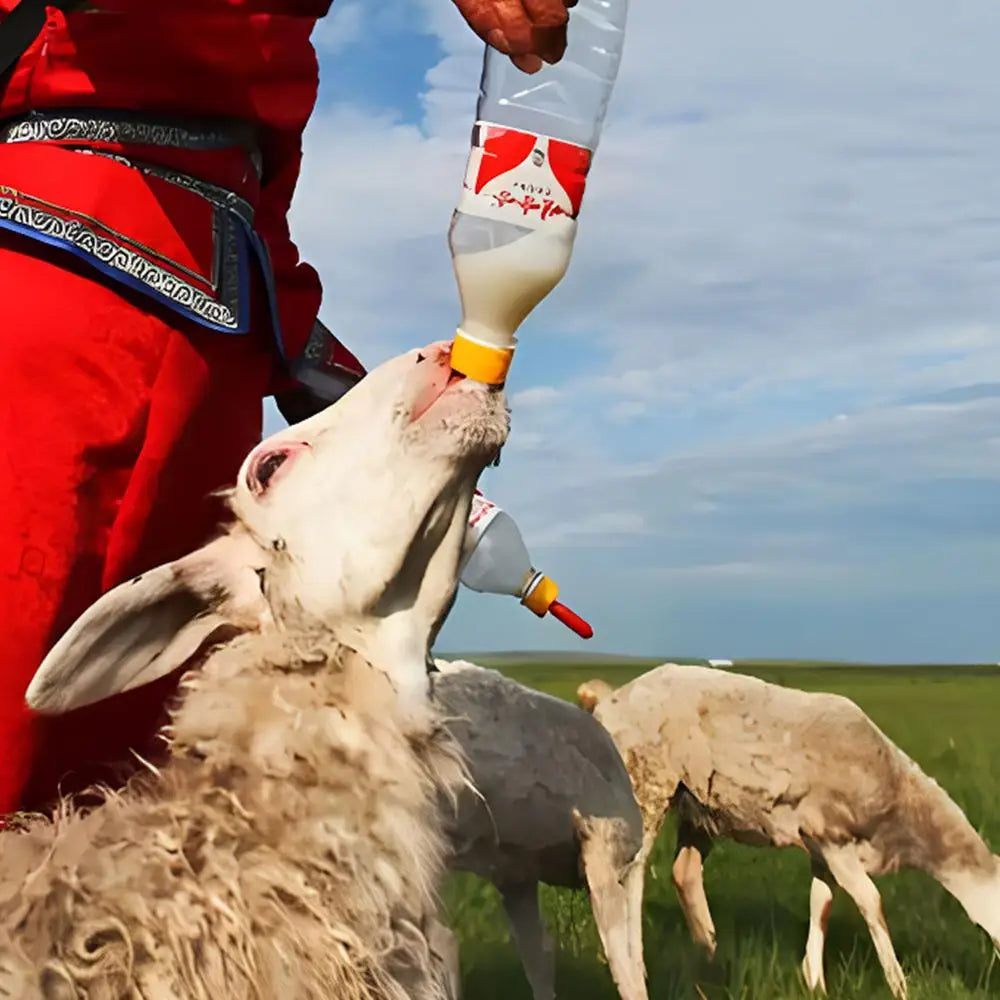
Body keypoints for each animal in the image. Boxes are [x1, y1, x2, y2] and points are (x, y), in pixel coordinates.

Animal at [576, 665, 1000, 1000]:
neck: (900, 809)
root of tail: (610, 698)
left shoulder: (822, 850)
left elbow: (821, 904)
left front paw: (814, 981)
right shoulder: (832, 835)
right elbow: (872, 902)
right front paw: (899, 985)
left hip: (698, 804)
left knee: (684, 872)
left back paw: (709, 954)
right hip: (646, 783)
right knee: (629, 873)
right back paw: (632, 963)